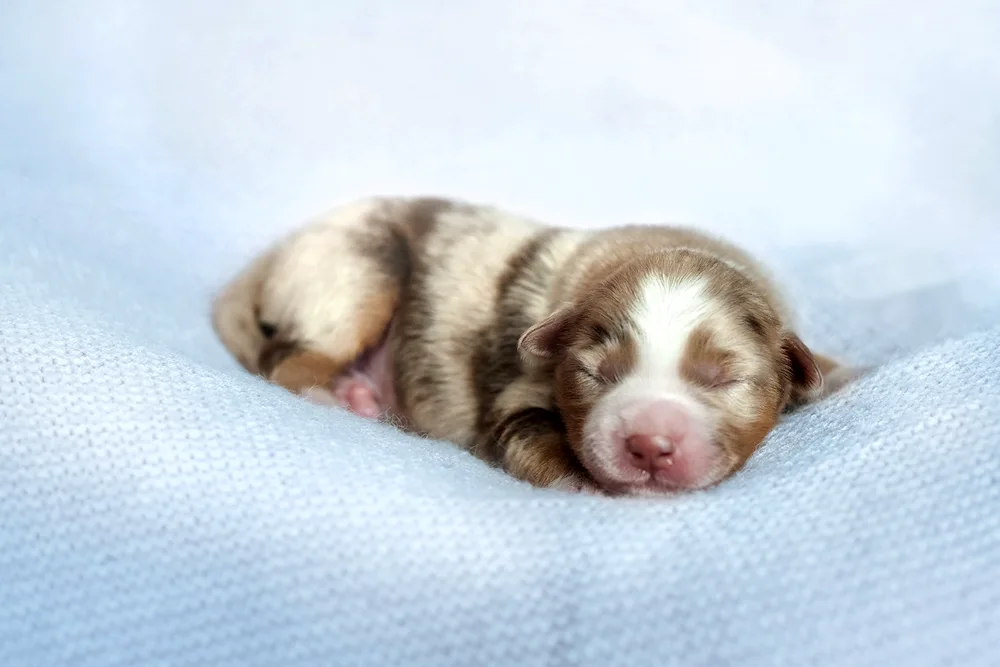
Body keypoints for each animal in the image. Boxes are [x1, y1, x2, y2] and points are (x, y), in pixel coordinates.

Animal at [211, 196, 852, 494]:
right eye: (597, 373)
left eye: (724, 378)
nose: (649, 444)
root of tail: (277, 252)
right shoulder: (521, 390)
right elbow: (528, 430)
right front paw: (579, 481)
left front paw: (847, 372)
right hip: (357, 271)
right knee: (287, 359)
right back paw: (336, 397)